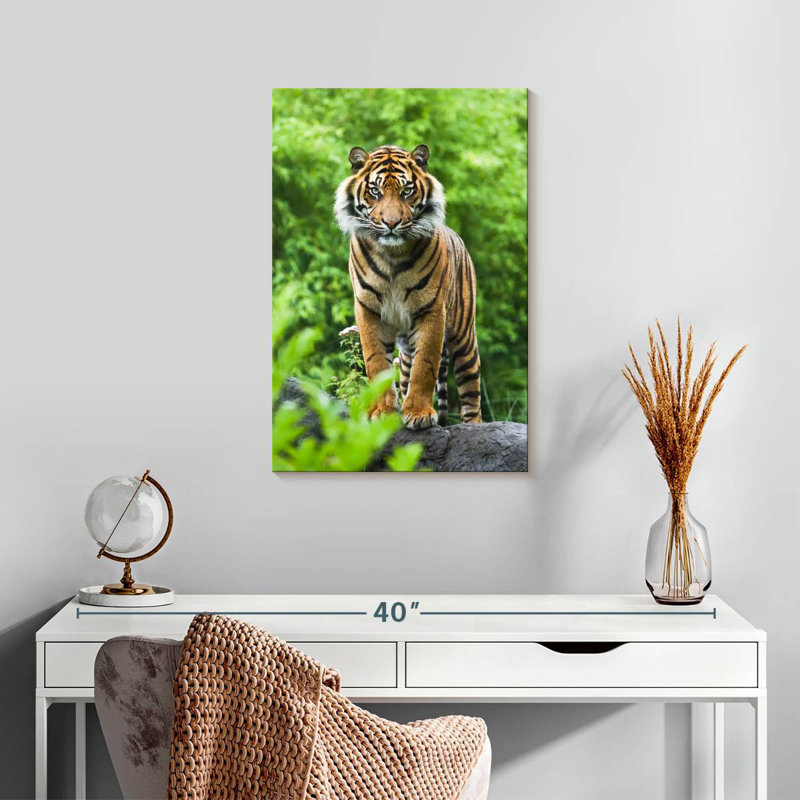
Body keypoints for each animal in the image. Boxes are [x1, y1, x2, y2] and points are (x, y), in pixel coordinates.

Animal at [334, 144, 481, 430]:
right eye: (375, 191)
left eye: (407, 191)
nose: (391, 223)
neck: (391, 255)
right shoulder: (368, 309)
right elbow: (376, 363)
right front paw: (382, 412)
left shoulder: (431, 310)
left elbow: (425, 366)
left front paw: (419, 413)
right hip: (405, 352)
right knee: (404, 376)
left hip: (464, 339)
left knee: (472, 397)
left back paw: (475, 428)